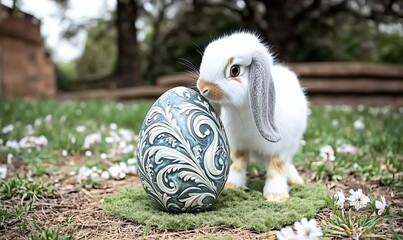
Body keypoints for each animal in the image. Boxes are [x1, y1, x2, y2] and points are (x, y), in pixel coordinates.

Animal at [196, 31, 310, 202]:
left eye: (234, 70)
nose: (203, 87)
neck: (244, 110)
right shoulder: (240, 144)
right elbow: (238, 163)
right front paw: (232, 186)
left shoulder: (279, 148)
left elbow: (277, 167)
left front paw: (276, 196)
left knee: (286, 163)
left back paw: (295, 180)